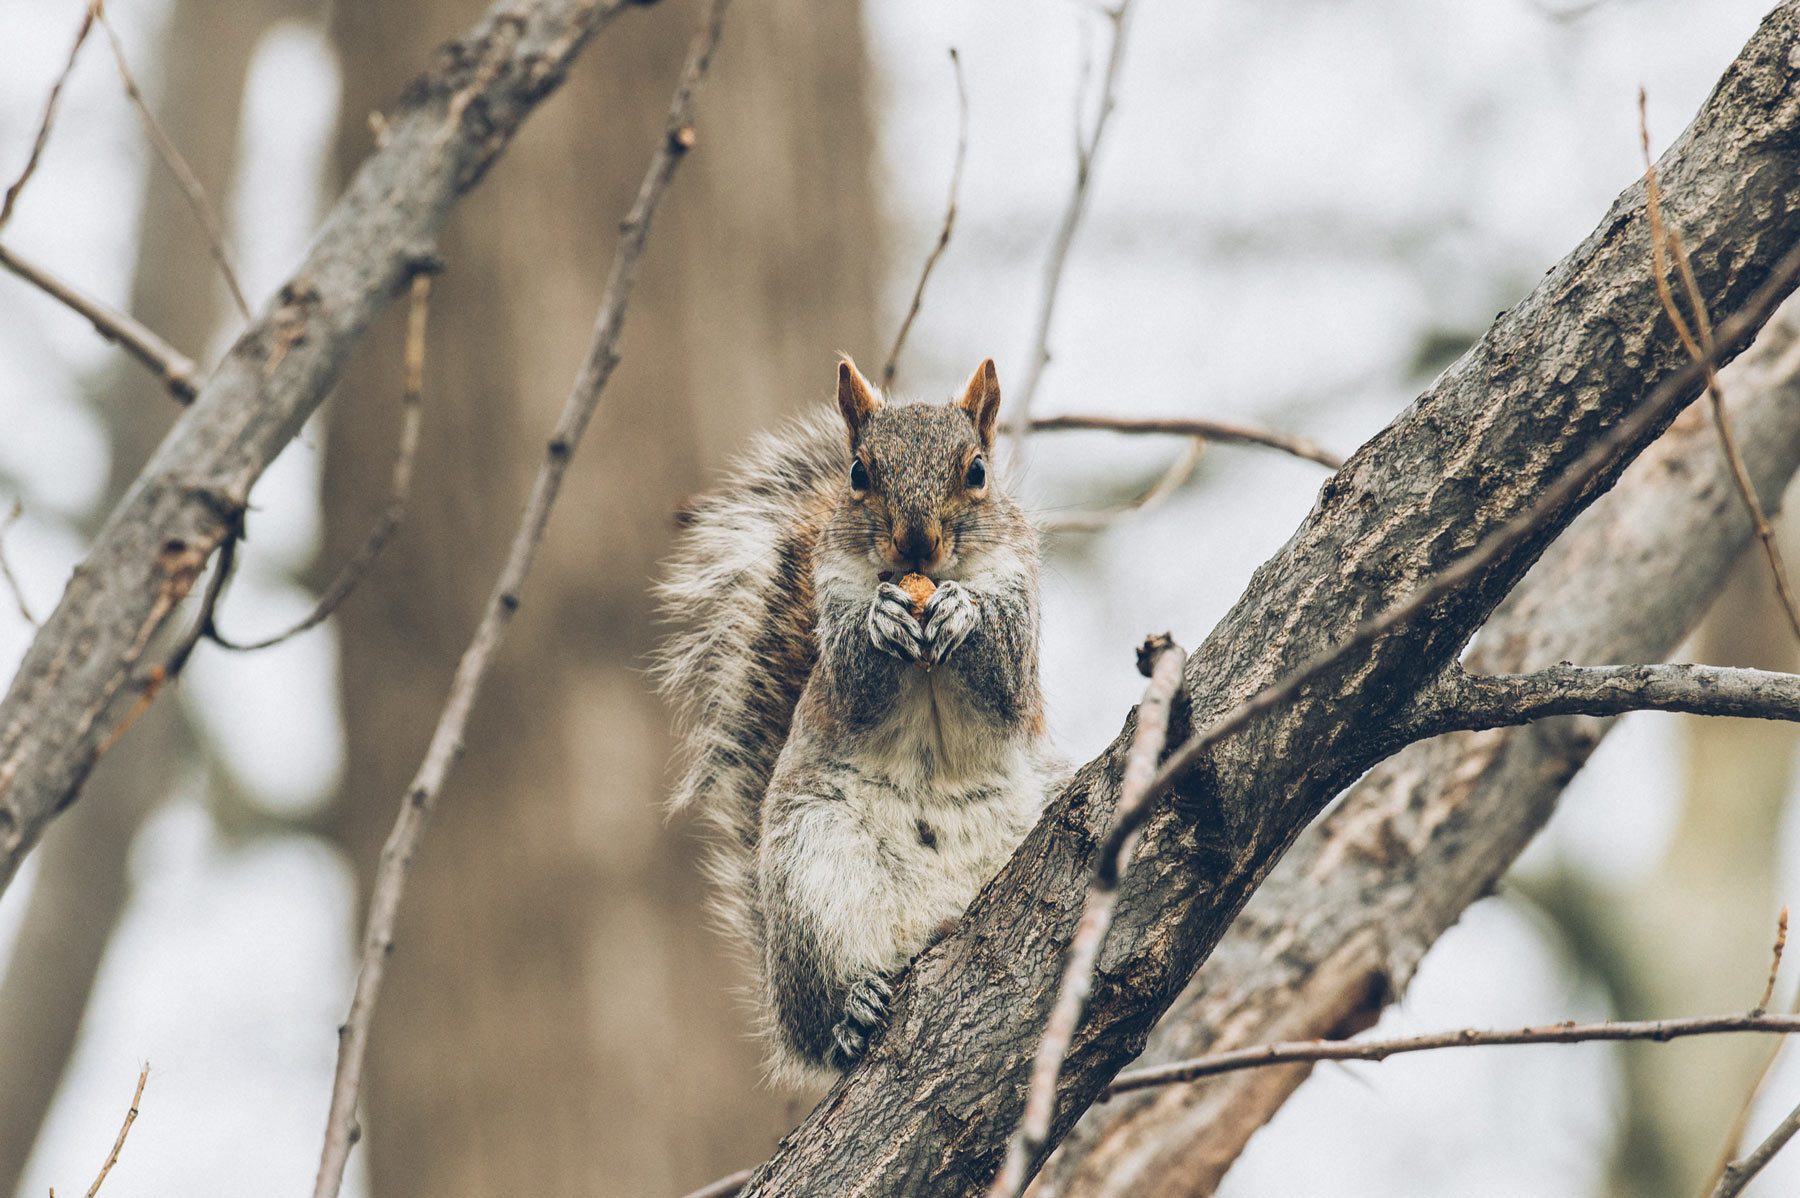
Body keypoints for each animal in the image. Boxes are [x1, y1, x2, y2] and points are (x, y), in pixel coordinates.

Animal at [655, 359, 1058, 1079]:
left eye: (978, 471)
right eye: (858, 473)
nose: (917, 544)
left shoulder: (1020, 601)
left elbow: (1006, 676)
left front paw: (964, 611)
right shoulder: (834, 626)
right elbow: (853, 677)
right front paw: (882, 622)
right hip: (815, 874)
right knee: (822, 1016)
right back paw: (850, 1013)